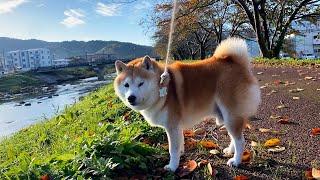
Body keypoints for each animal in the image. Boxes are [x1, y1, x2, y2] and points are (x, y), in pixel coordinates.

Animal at [114, 38, 262, 172]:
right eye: (126, 85)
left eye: (141, 83)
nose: (131, 98)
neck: (163, 89)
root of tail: (237, 63)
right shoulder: (176, 126)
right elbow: (179, 143)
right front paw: (180, 155)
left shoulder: (172, 126)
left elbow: (172, 149)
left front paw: (172, 166)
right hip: (228, 116)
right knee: (234, 137)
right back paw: (230, 151)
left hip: (231, 114)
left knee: (240, 141)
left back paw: (236, 161)